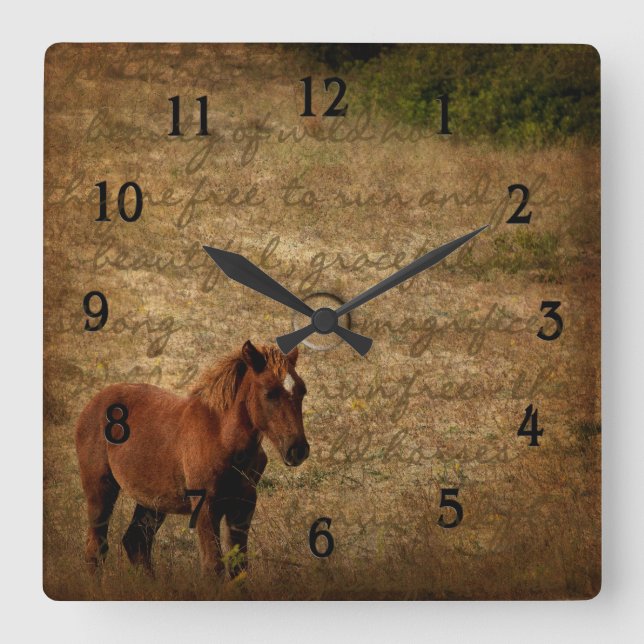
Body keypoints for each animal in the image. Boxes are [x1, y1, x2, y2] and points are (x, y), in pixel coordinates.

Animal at [75, 340, 309, 578]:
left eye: (302, 391)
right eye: (270, 393)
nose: (298, 449)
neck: (221, 436)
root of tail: (95, 401)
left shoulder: (243, 504)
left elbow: (239, 567)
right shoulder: (205, 506)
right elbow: (213, 567)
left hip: (152, 499)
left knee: (136, 542)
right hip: (100, 488)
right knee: (96, 547)